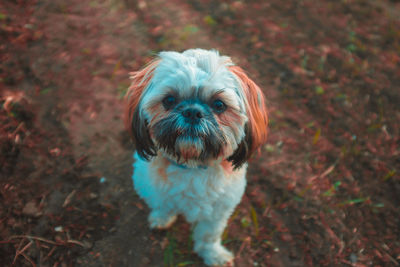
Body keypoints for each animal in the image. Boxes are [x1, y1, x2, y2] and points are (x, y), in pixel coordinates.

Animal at [125, 49, 268, 266]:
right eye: (169, 100)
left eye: (219, 104)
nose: (192, 112)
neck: (191, 164)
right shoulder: (153, 189)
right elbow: (163, 205)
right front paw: (162, 219)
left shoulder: (218, 211)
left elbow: (209, 235)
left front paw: (213, 254)